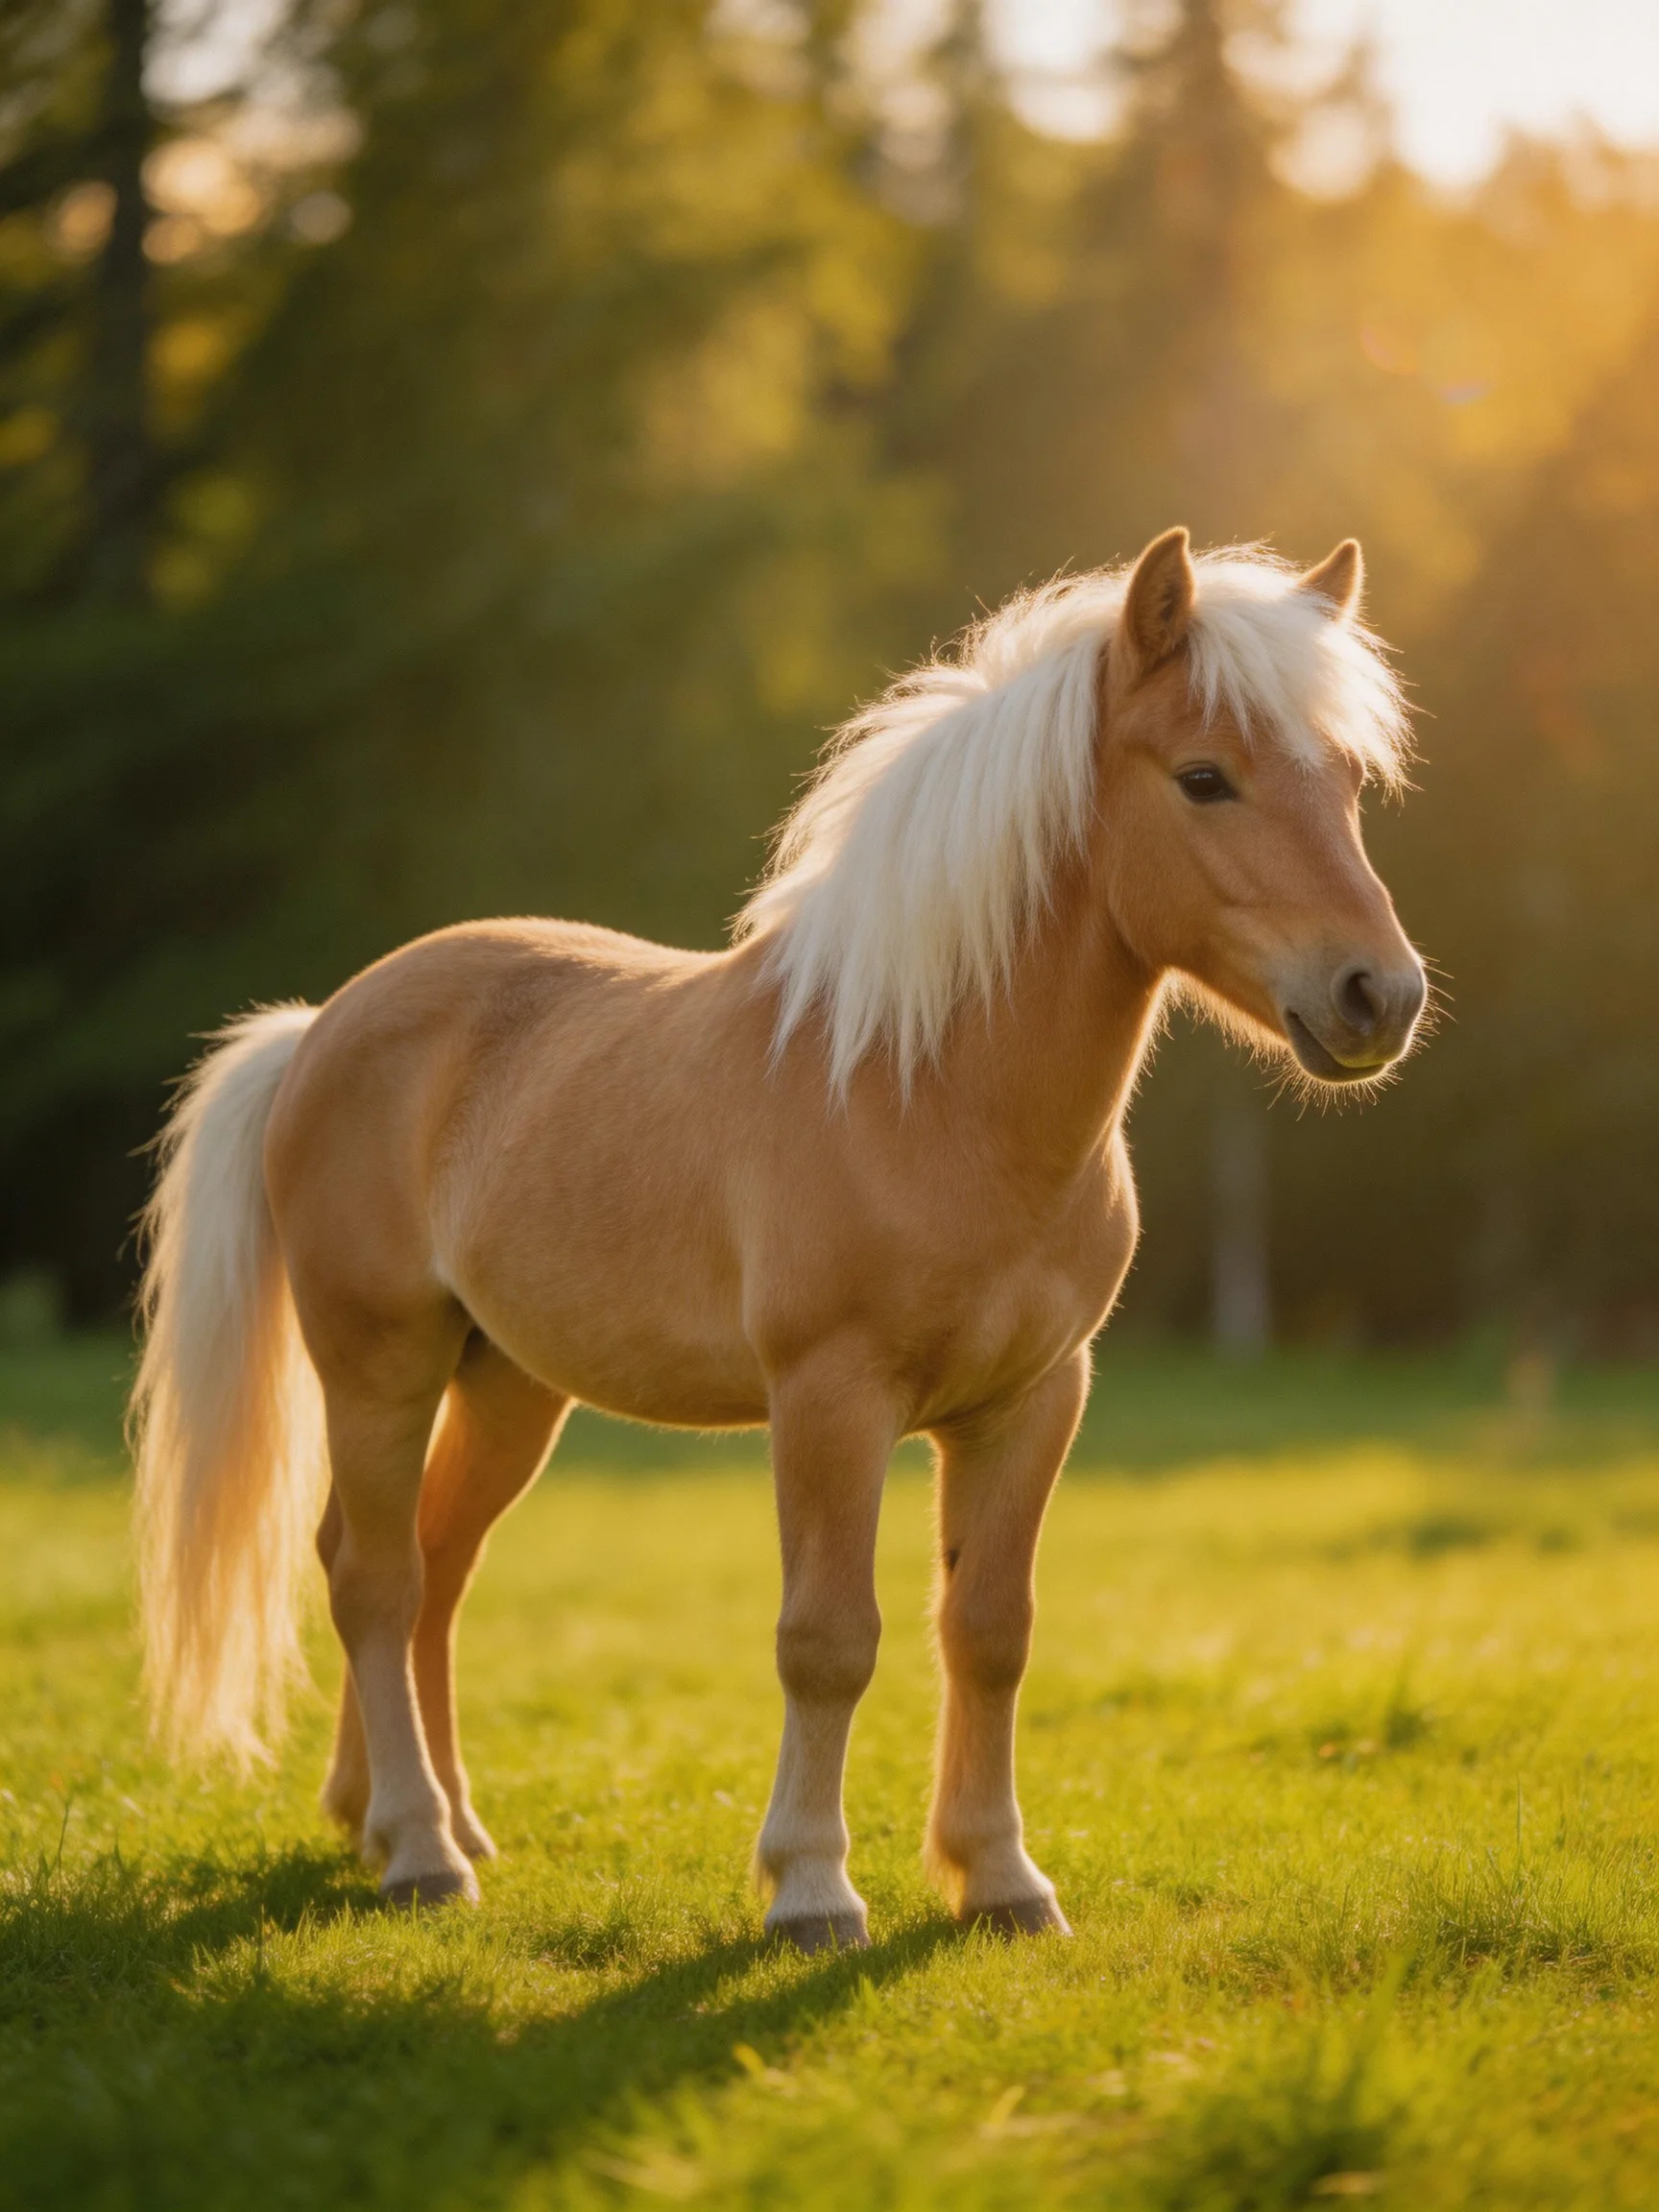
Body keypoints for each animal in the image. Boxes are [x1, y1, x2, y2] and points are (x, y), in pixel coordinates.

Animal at [130, 526, 1426, 1949]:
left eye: (1349, 781)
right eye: (1204, 778)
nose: (1380, 995)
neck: (928, 1094)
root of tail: (322, 1026)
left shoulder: (1035, 1401)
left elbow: (990, 1630)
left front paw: (1001, 1880)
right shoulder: (829, 1401)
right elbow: (829, 1639)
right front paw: (811, 1888)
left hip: (508, 1384)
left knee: (430, 1569)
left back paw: (407, 1822)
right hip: (380, 1365)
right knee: (371, 1579)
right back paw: (419, 1853)